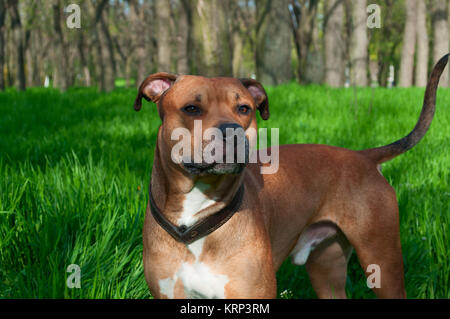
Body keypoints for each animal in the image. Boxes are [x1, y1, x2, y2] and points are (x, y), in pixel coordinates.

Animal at [135, 55, 448, 300]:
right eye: (191, 108)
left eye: (244, 109)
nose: (232, 131)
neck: (196, 218)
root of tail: (363, 157)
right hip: (327, 268)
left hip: (381, 261)